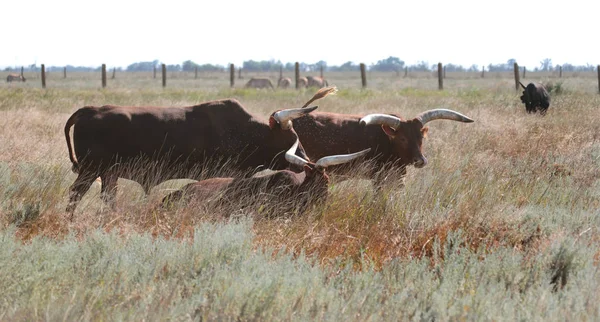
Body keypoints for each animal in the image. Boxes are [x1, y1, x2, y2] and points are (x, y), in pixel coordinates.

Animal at [65, 87, 338, 215]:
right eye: (292, 137)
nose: (308, 162)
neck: (247, 130)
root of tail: (90, 110)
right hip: (90, 171)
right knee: (75, 196)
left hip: (107, 173)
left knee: (107, 197)